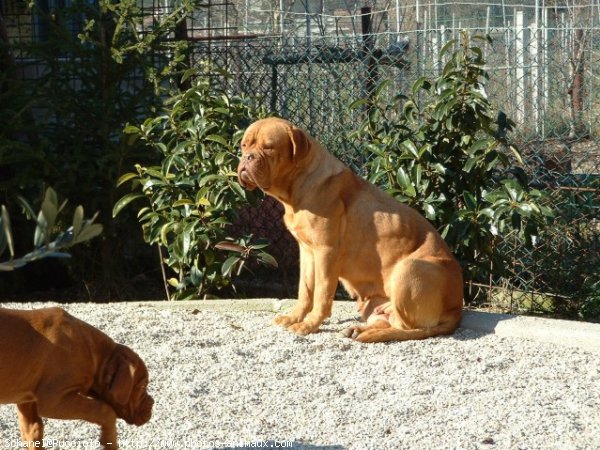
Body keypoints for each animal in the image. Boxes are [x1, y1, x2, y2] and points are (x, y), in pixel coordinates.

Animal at [0, 308, 155, 448]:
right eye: (142, 387)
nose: (152, 402)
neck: (95, 355)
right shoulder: (53, 400)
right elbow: (104, 410)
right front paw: (109, 439)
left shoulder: (27, 401)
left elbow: (33, 432)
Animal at [239, 118, 464, 342]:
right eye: (244, 145)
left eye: (269, 147)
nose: (247, 158)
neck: (297, 187)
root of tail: (456, 310)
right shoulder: (307, 252)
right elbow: (305, 290)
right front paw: (294, 318)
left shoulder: (326, 252)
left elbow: (321, 294)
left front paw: (309, 325)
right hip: (372, 303)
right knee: (389, 321)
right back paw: (358, 329)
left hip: (410, 267)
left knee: (406, 327)